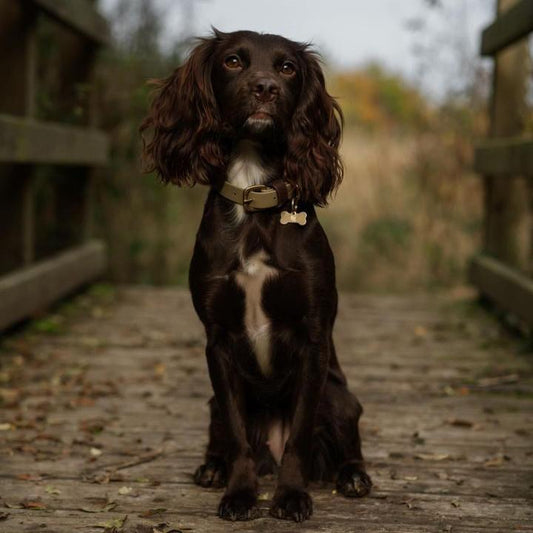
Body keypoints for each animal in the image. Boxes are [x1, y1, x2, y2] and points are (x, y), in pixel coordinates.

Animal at [140, 28, 370, 520]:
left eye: (287, 68)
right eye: (232, 61)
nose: (266, 88)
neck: (252, 190)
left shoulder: (313, 338)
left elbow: (299, 435)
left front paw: (291, 496)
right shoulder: (218, 341)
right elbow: (238, 435)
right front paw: (240, 493)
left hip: (339, 396)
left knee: (345, 436)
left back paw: (354, 476)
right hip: (211, 403)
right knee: (223, 432)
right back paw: (211, 468)